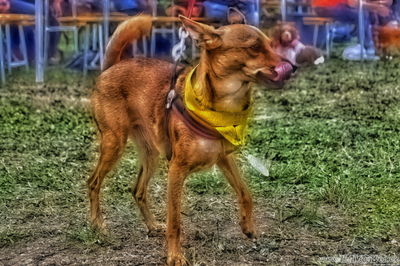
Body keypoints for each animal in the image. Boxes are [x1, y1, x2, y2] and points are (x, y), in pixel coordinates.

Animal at [89, 15, 292, 264]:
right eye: (254, 47)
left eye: (271, 44)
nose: (292, 68)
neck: (221, 108)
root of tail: (112, 67)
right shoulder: (176, 170)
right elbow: (175, 221)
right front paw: (175, 256)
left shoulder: (225, 159)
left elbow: (245, 192)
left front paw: (248, 226)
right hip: (114, 143)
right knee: (93, 183)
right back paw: (97, 224)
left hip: (151, 154)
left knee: (138, 190)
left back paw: (152, 225)